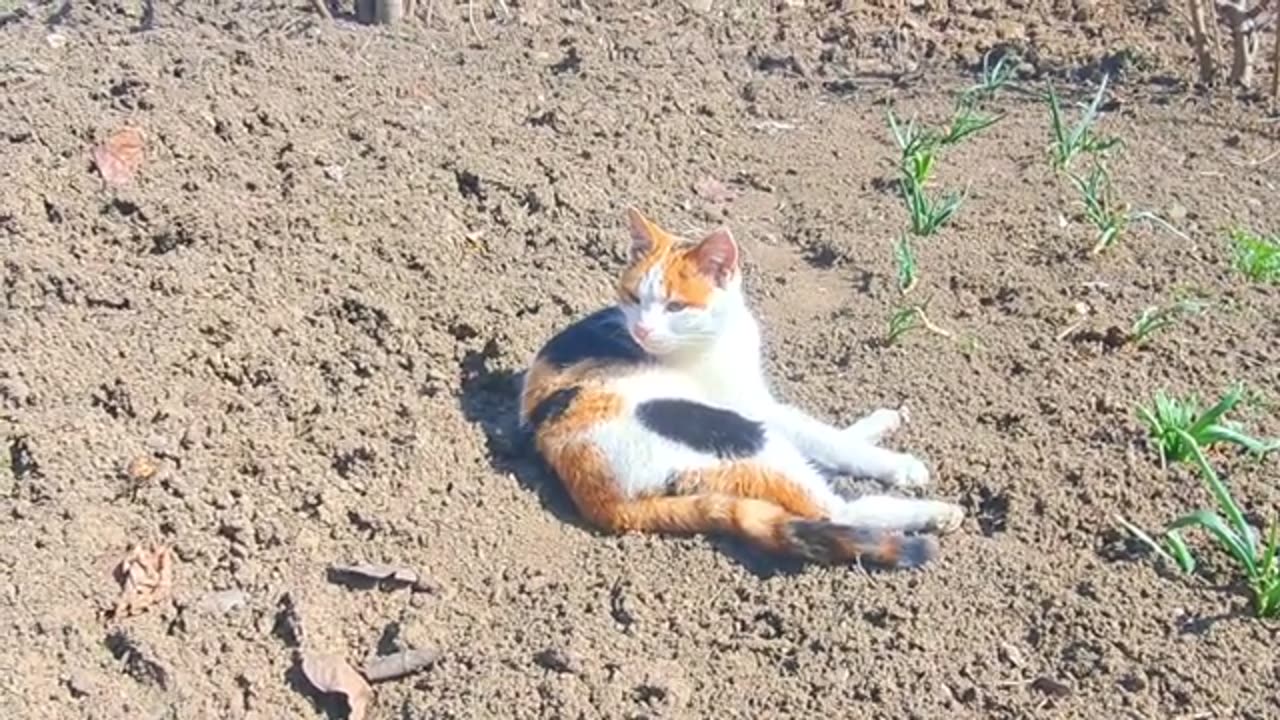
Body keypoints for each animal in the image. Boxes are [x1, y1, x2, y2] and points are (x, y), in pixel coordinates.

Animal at [514, 207, 962, 566]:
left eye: (675, 306)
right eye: (633, 298)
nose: (641, 330)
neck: (722, 335)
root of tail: (601, 501)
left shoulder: (760, 396)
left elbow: (823, 431)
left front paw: (880, 423)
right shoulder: (752, 407)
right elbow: (826, 438)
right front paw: (901, 465)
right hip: (732, 431)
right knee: (832, 510)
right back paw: (937, 514)